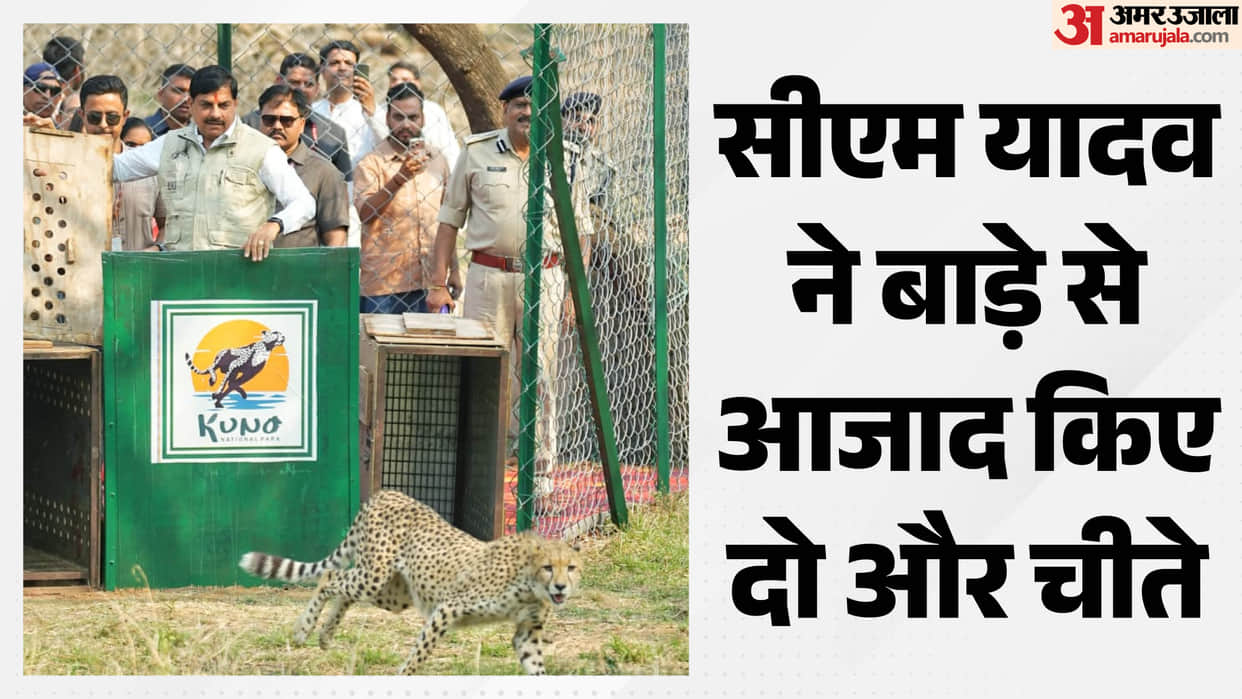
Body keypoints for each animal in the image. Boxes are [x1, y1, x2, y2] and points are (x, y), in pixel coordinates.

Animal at [238, 489, 582, 675]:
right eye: (549, 568)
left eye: (571, 568)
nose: (561, 587)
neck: (530, 586)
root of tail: (387, 493)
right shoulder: (447, 609)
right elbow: (420, 652)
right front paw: (404, 674)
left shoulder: (527, 632)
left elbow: (536, 667)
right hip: (374, 576)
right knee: (331, 576)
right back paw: (304, 629)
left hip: (393, 593)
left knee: (345, 592)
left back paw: (324, 635)